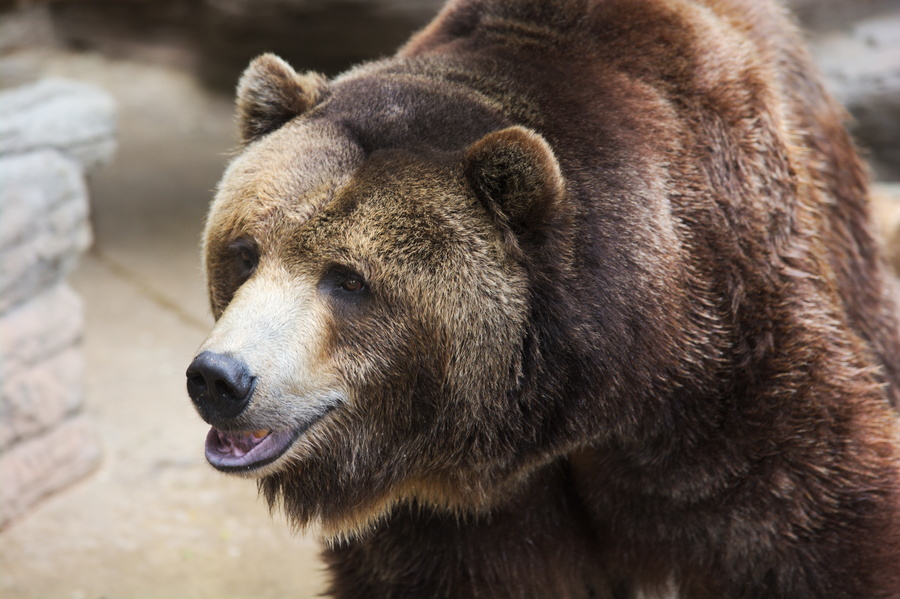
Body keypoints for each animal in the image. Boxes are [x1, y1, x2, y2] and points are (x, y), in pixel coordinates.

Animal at [185, 0, 900, 597]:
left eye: (349, 279)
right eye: (245, 251)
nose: (220, 377)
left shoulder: (733, 372)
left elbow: (815, 523)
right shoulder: (460, 517)